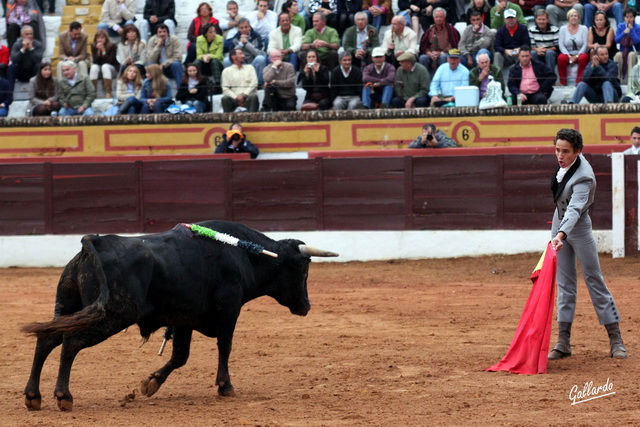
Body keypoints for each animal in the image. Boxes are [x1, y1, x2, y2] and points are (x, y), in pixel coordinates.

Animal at [22, 221, 338, 412]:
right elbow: (225, 346)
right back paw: (64, 397)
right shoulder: (229, 311)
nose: (306, 307)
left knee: (46, 340)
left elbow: (180, 355)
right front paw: (225, 386)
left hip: (68, 307)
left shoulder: (184, 318)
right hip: (113, 314)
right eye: (303, 269)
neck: (244, 255)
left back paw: (33, 397)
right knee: (71, 343)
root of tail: (94, 242)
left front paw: (150, 383)